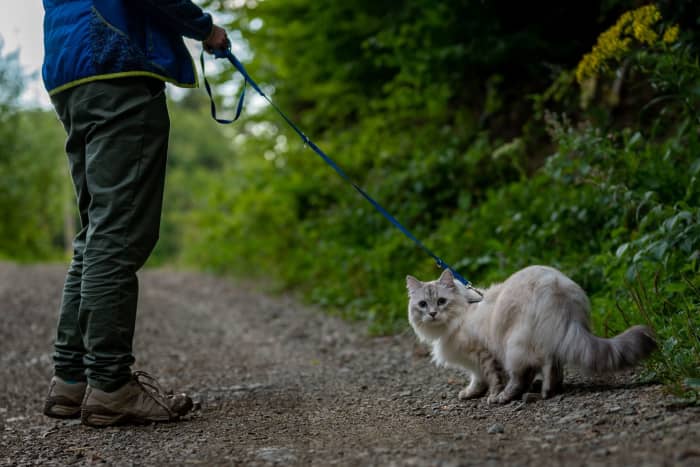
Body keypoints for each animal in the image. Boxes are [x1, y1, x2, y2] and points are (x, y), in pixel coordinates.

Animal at [404, 266, 656, 404]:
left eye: (441, 302)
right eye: (423, 304)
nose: (433, 314)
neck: (465, 310)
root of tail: (556, 286)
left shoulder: (484, 353)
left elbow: (491, 378)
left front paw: (490, 394)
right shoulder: (474, 361)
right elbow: (477, 379)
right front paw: (471, 393)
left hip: (513, 345)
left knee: (521, 376)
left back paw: (507, 397)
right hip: (548, 339)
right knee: (552, 368)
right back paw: (546, 391)